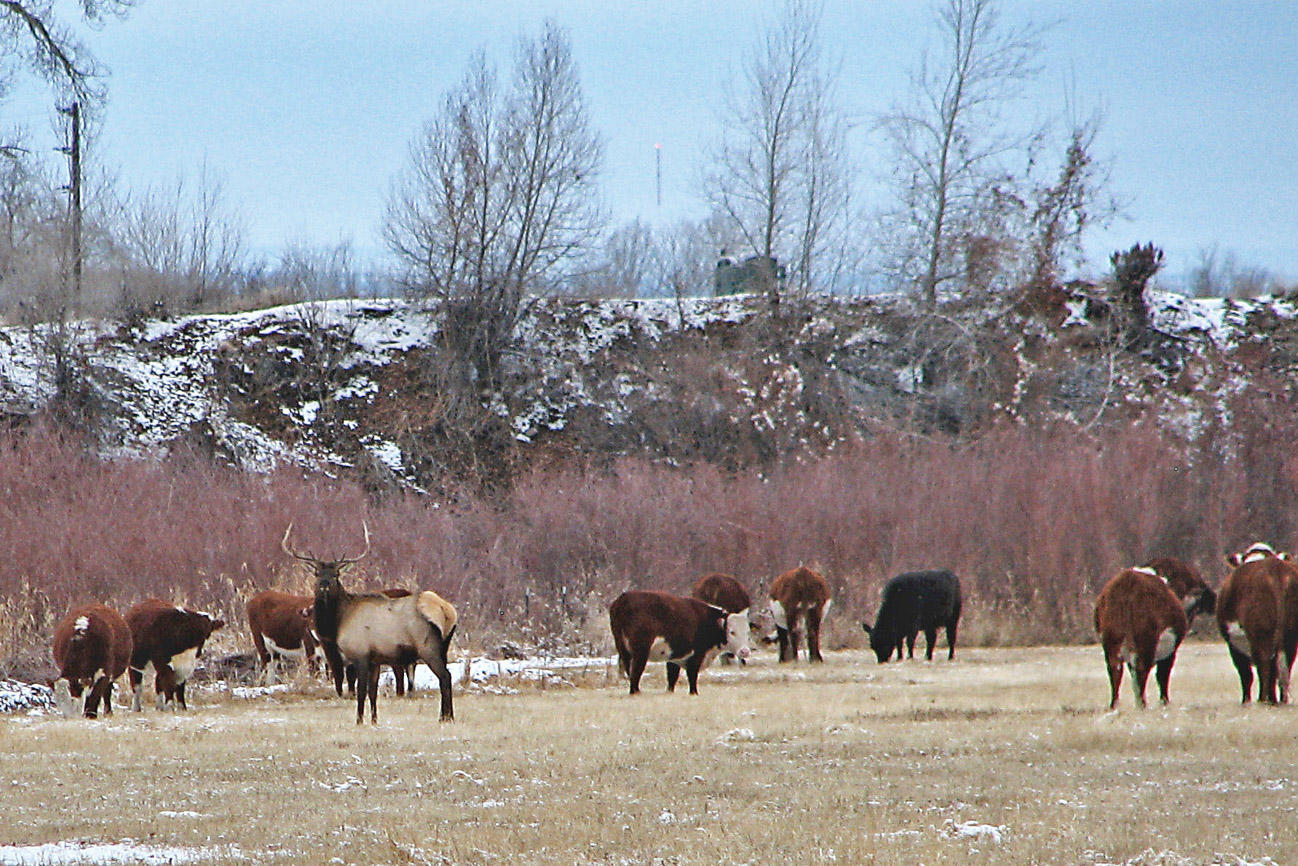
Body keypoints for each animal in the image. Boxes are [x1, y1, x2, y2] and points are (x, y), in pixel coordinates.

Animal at [281, 523, 457, 724]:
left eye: (336, 574)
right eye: (317, 573)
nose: (324, 585)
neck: (340, 621)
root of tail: (447, 611)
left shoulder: (361, 654)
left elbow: (361, 691)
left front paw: (359, 721)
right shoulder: (375, 660)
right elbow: (373, 692)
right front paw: (373, 720)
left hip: (428, 647)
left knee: (445, 676)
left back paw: (445, 718)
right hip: (444, 647)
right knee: (447, 676)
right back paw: (446, 716)